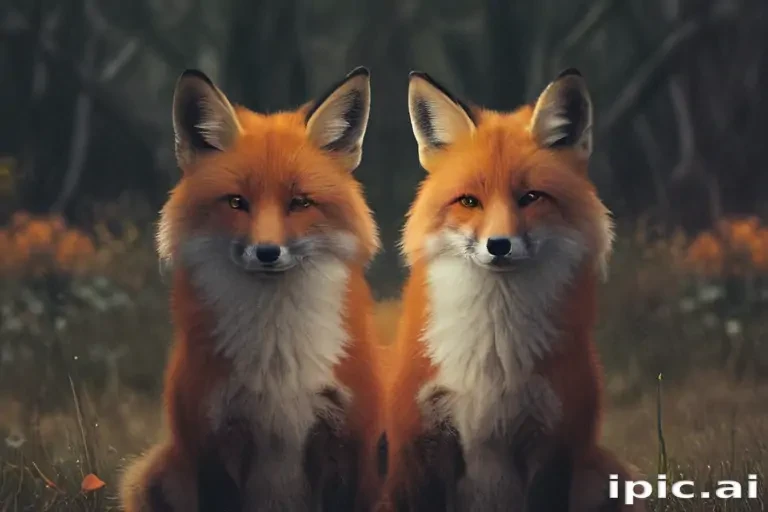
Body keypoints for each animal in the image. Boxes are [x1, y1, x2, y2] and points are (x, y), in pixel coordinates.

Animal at [118, 66, 387, 511]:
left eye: (300, 203)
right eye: (236, 202)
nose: (267, 252)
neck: (276, 358)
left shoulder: (349, 443)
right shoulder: (211, 446)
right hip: (152, 476)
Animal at [380, 69, 644, 512]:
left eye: (531, 198)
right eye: (469, 201)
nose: (498, 245)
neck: (494, 349)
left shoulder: (554, 442)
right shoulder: (421, 440)